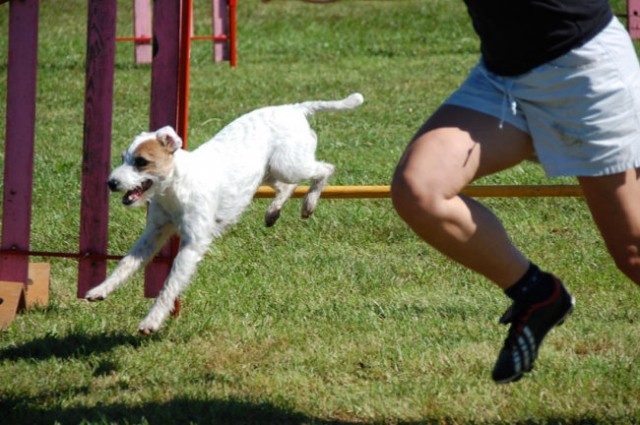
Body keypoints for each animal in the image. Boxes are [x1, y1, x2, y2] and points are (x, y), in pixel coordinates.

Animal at [85, 93, 364, 334]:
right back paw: (273, 212)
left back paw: (310, 202)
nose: (111, 182)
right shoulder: (154, 234)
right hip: (270, 172)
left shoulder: (193, 244)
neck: (177, 185)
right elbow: (126, 264)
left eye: (141, 162)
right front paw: (100, 289)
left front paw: (152, 320)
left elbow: (170, 285)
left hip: (291, 165)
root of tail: (294, 108)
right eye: (123, 158)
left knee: (324, 170)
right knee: (287, 187)